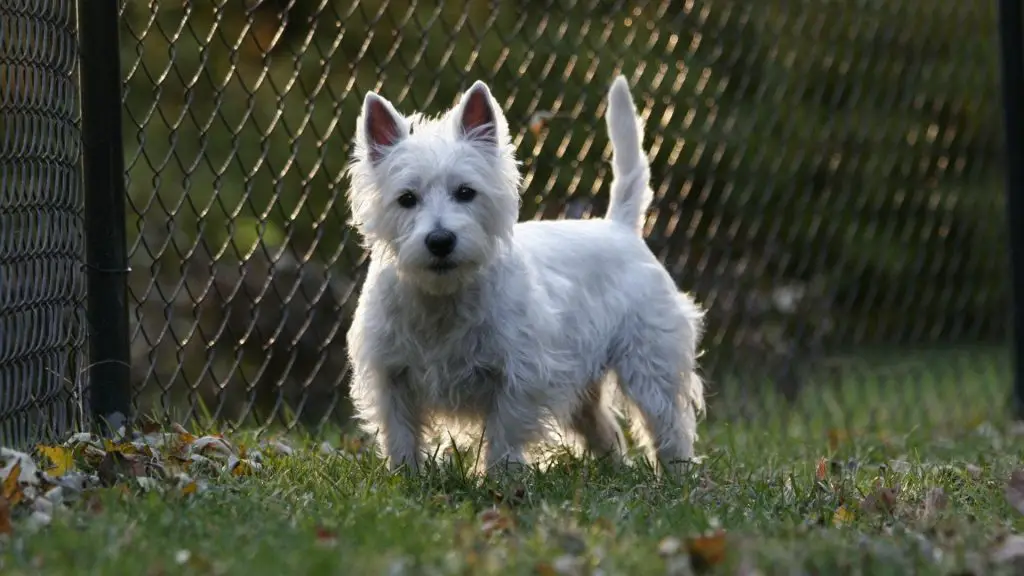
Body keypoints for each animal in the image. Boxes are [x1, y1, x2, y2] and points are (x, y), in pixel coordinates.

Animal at [344, 72, 704, 475]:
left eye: (466, 192)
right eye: (406, 198)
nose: (440, 240)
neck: (442, 298)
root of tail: (620, 226)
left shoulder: (519, 374)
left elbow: (504, 433)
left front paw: (499, 478)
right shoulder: (391, 376)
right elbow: (400, 435)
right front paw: (407, 477)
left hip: (649, 362)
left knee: (667, 422)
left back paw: (677, 474)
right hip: (587, 386)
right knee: (604, 429)